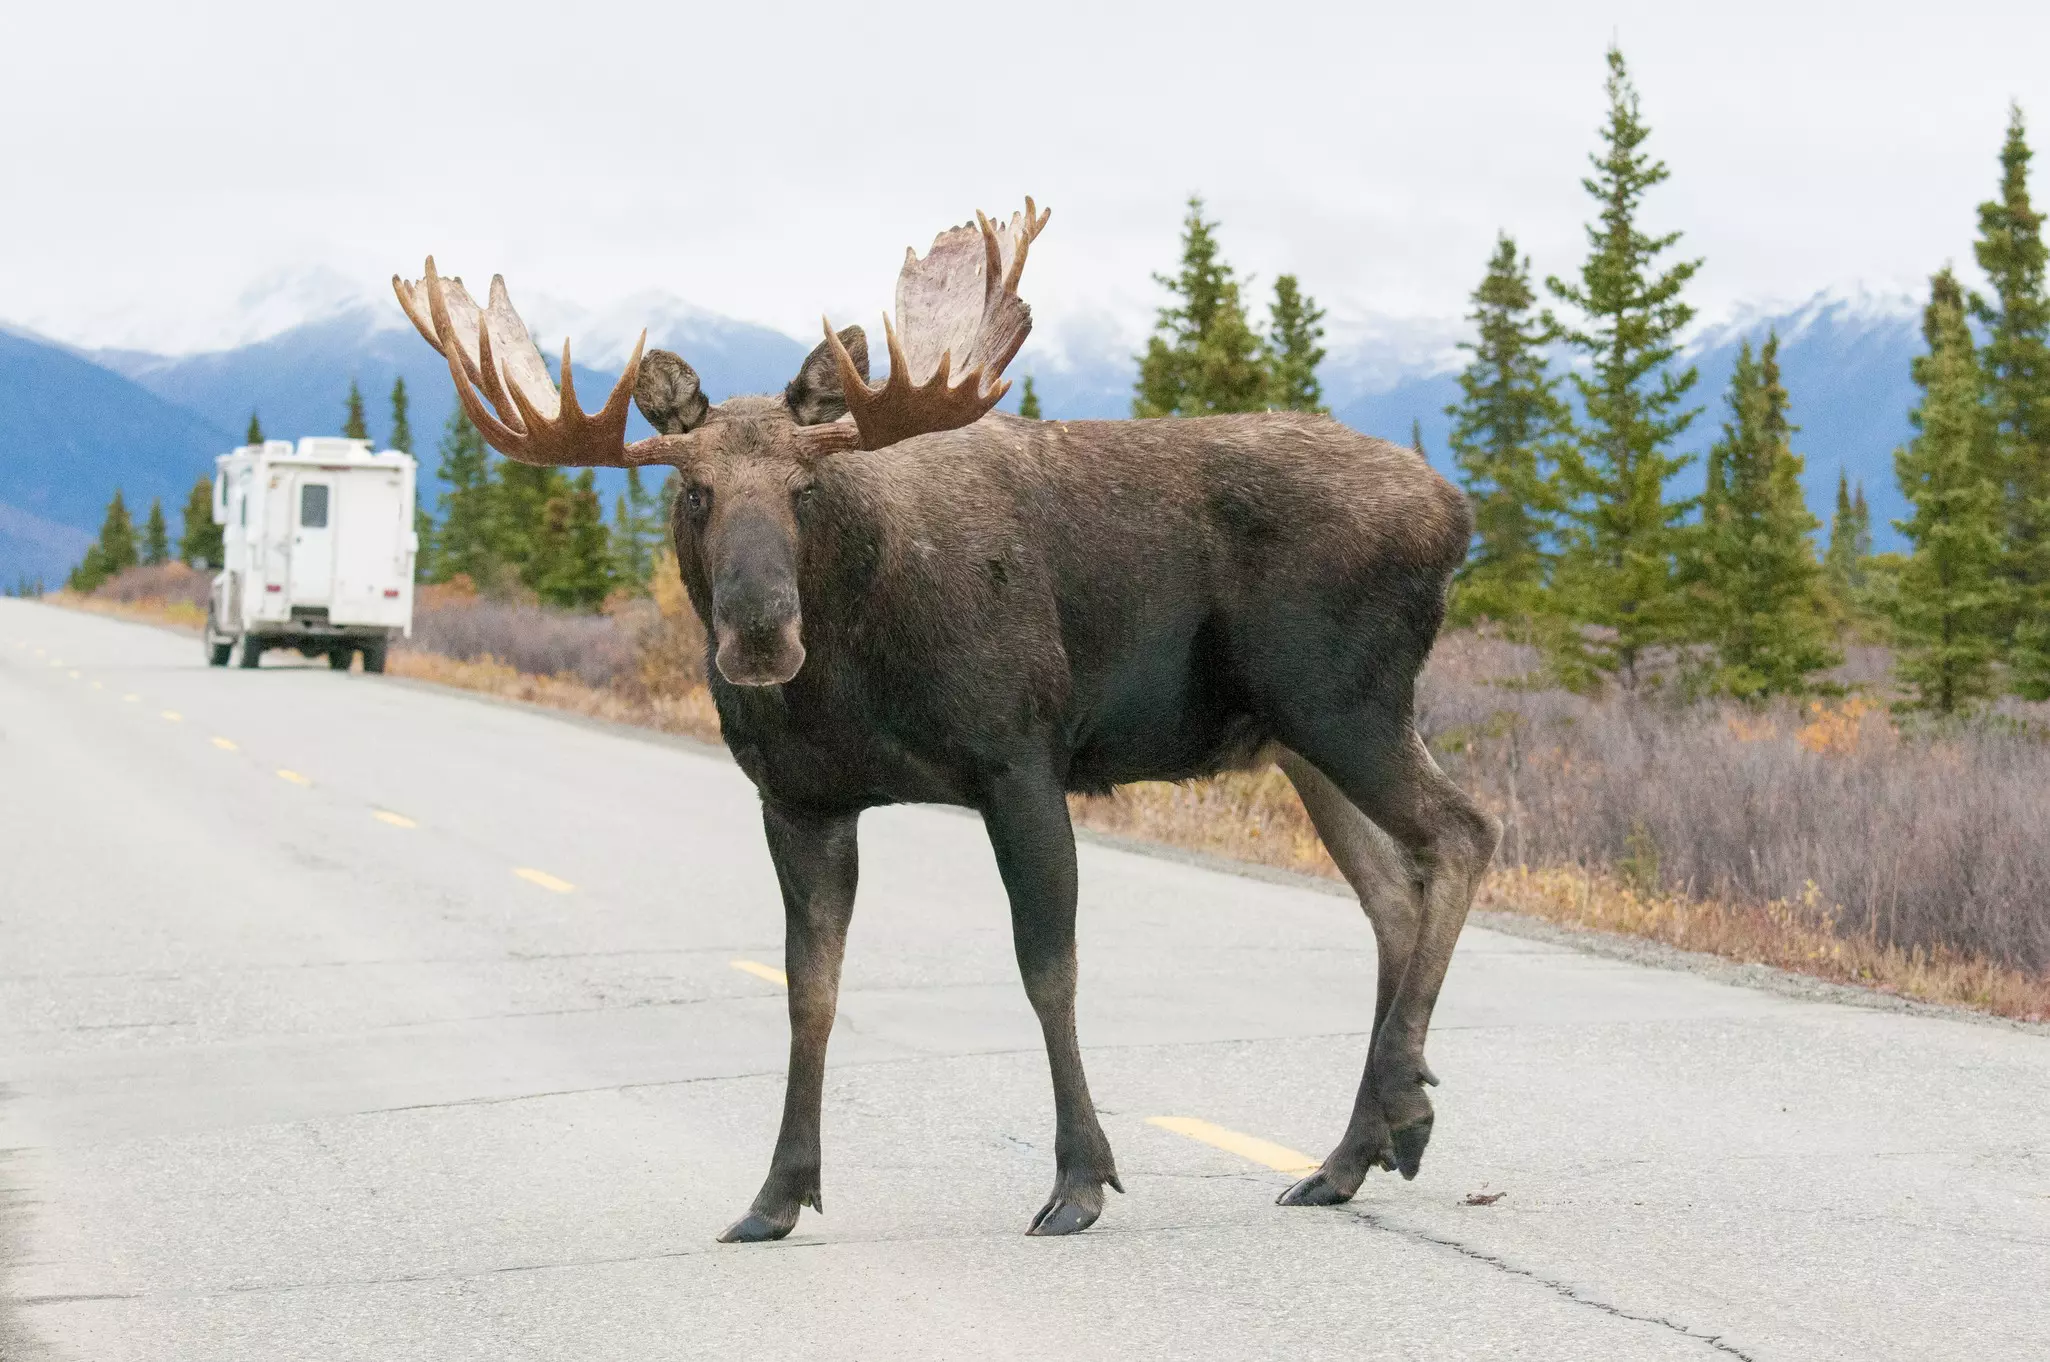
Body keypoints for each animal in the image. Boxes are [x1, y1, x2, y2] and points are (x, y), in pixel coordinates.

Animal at [392, 200, 1500, 1241]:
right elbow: (810, 990)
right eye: (695, 490)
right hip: (1299, 741)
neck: (851, 669)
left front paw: (1079, 1180)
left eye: (805, 486)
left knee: (1465, 831)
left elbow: (1048, 972)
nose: (758, 632)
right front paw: (778, 1194)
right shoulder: (799, 800)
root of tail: (1457, 513)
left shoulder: (1020, 761)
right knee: (1391, 894)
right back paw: (1353, 1152)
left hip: (1345, 705)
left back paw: (1401, 1107)